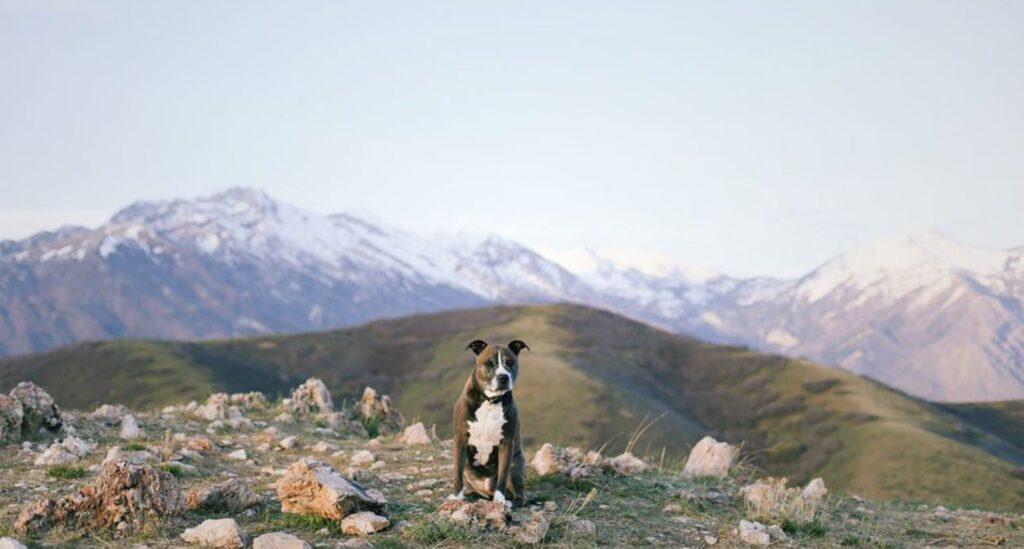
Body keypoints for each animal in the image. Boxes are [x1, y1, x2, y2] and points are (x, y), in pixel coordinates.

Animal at [446, 335, 528, 508]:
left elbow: (502, 478)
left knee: (520, 497)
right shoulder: (460, 440)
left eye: (510, 362)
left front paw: (500, 501)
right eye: (489, 363)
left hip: (515, 466)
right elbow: (457, 473)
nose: (503, 377)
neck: (490, 401)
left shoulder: (506, 443)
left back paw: (508, 502)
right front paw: (456, 497)